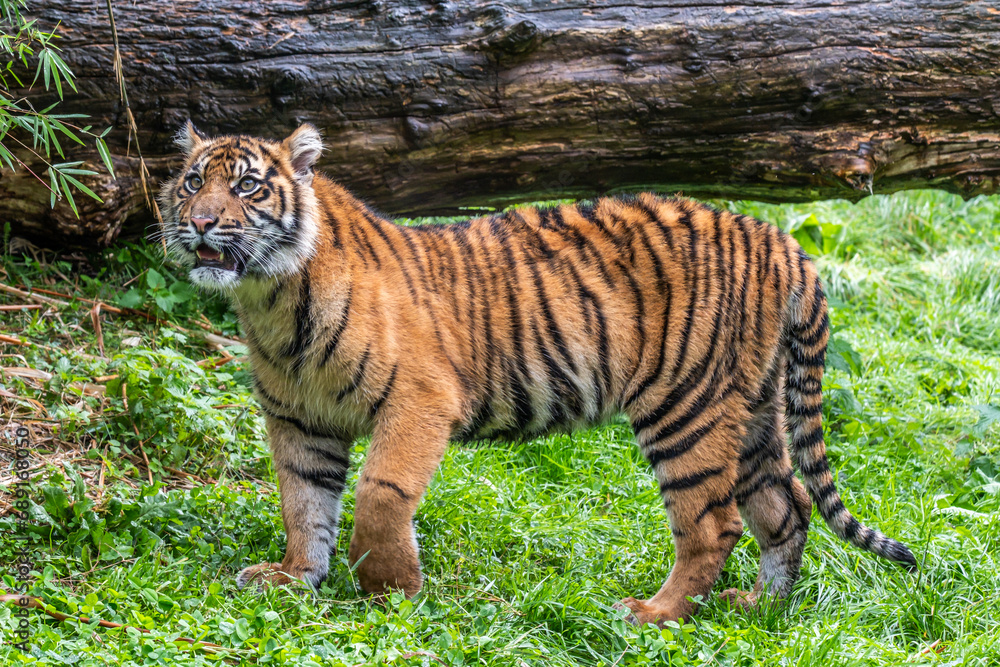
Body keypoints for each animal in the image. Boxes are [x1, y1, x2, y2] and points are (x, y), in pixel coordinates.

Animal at [157, 121, 916, 626]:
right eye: (193, 181)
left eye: (248, 186)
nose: (200, 223)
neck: (273, 299)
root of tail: (780, 239)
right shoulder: (299, 420)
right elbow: (303, 503)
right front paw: (294, 579)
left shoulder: (418, 400)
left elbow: (379, 493)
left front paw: (391, 591)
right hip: (752, 407)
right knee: (787, 505)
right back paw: (759, 609)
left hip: (685, 406)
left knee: (715, 524)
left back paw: (654, 613)